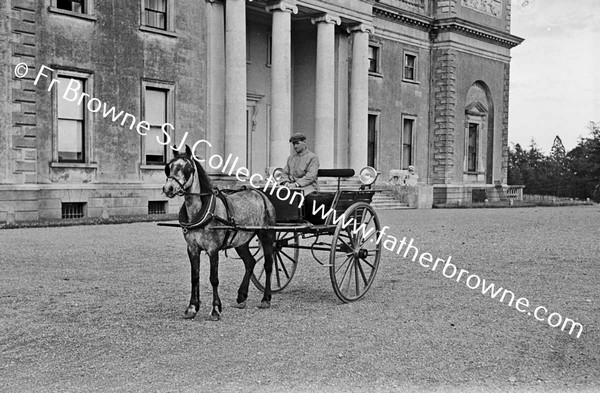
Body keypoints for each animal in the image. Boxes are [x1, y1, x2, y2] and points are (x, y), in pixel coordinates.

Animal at [163, 144, 278, 318]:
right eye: (169, 167)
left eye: (188, 168)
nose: (168, 188)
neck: (200, 211)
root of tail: (259, 193)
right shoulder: (192, 248)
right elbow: (194, 277)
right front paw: (192, 307)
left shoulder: (213, 249)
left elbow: (213, 278)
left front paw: (216, 308)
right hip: (241, 240)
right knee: (250, 262)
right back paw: (241, 297)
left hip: (266, 235)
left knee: (268, 265)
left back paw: (266, 298)